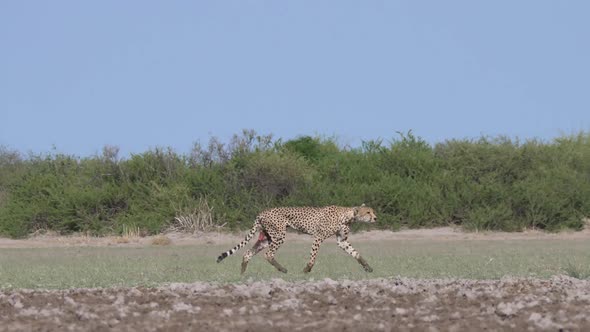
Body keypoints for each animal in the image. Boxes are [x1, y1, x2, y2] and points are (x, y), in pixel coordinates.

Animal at [217, 204, 380, 274]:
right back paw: (283, 269)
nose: (376, 218)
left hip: (267, 238)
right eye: (368, 212)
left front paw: (368, 267)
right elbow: (313, 256)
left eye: (372, 211)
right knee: (268, 254)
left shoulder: (342, 241)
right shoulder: (318, 237)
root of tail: (261, 212)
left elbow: (355, 253)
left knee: (248, 253)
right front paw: (307, 269)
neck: (347, 215)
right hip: (279, 235)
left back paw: (242, 275)